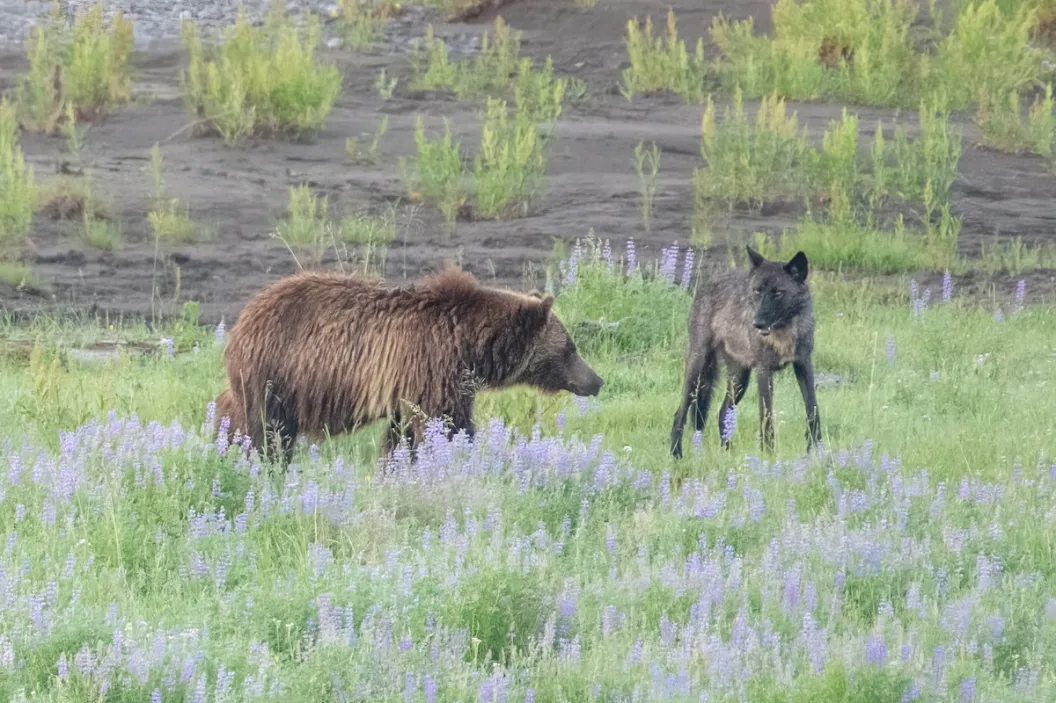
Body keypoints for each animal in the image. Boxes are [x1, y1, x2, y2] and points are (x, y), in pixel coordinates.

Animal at [218, 267, 604, 464]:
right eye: (570, 348)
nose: (597, 381)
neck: (471, 344)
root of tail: (243, 317)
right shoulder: (434, 368)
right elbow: (448, 426)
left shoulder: (414, 386)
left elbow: (403, 435)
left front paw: (395, 467)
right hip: (278, 372)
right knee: (267, 428)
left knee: (235, 412)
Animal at [670, 246, 821, 458]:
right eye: (757, 291)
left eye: (777, 293)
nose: (757, 323)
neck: (783, 332)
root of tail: (707, 284)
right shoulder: (764, 371)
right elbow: (767, 417)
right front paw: (769, 456)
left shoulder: (803, 364)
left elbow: (813, 409)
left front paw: (816, 450)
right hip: (698, 371)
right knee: (680, 414)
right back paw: (676, 456)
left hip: (739, 380)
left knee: (722, 412)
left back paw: (727, 454)